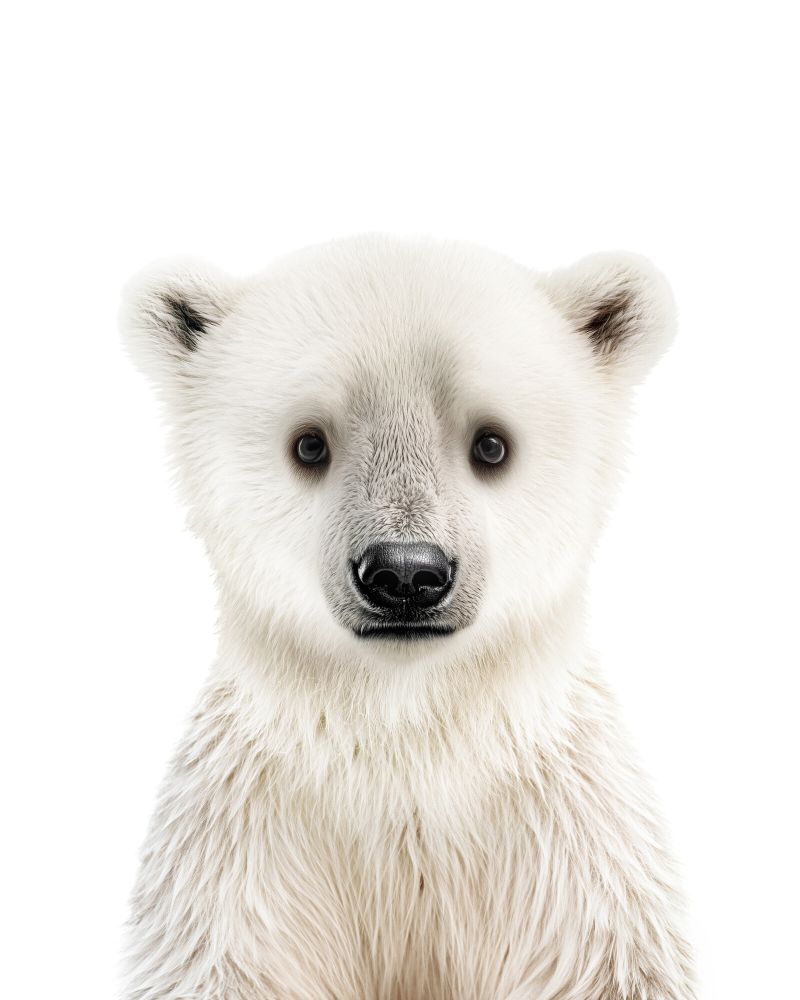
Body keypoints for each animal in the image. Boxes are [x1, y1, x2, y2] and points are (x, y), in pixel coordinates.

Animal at [120, 235, 695, 1000]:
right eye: (310, 443)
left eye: (491, 444)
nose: (404, 575)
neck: (405, 730)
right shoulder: (243, 847)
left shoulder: (567, 845)